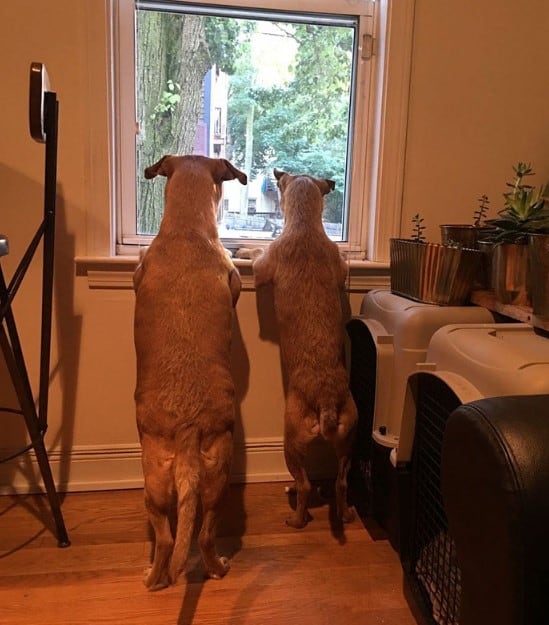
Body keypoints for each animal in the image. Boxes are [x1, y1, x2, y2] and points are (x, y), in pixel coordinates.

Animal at [133, 154, 246, 588]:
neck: (186, 230)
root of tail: (187, 426)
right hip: (217, 483)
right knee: (204, 535)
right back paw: (216, 569)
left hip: (152, 486)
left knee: (167, 540)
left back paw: (154, 577)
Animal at [252, 167, 358, 528]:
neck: (306, 226)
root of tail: (325, 400)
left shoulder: (262, 269)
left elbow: (255, 259)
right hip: (347, 440)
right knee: (341, 483)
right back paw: (346, 513)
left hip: (292, 440)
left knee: (305, 483)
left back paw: (296, 518)